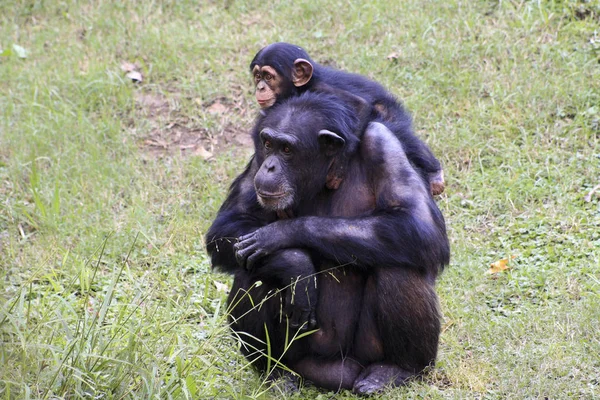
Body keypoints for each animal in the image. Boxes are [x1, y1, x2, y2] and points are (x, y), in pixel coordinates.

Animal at [206, 91, 450, 394]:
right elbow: (226, 227)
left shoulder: (383, 143)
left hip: (366, 353)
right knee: (253, 274)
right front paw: (295, 264)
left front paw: (279, 234)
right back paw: (276, 373)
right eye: (268, 144)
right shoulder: (256, 159)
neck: (327, 174)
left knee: (399, 268)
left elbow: (419, 223)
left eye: (287, 149)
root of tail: (336, 372)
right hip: (302, 359)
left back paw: (395, 370)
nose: (270, 166)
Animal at [250, 41, 446, 195]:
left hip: (389, 112)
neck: (300, 87)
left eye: (268, 76)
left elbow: (359, 104)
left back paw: (434, 172)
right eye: (258, 76)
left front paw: (339, 166)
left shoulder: (322, 88)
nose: (260, 87)